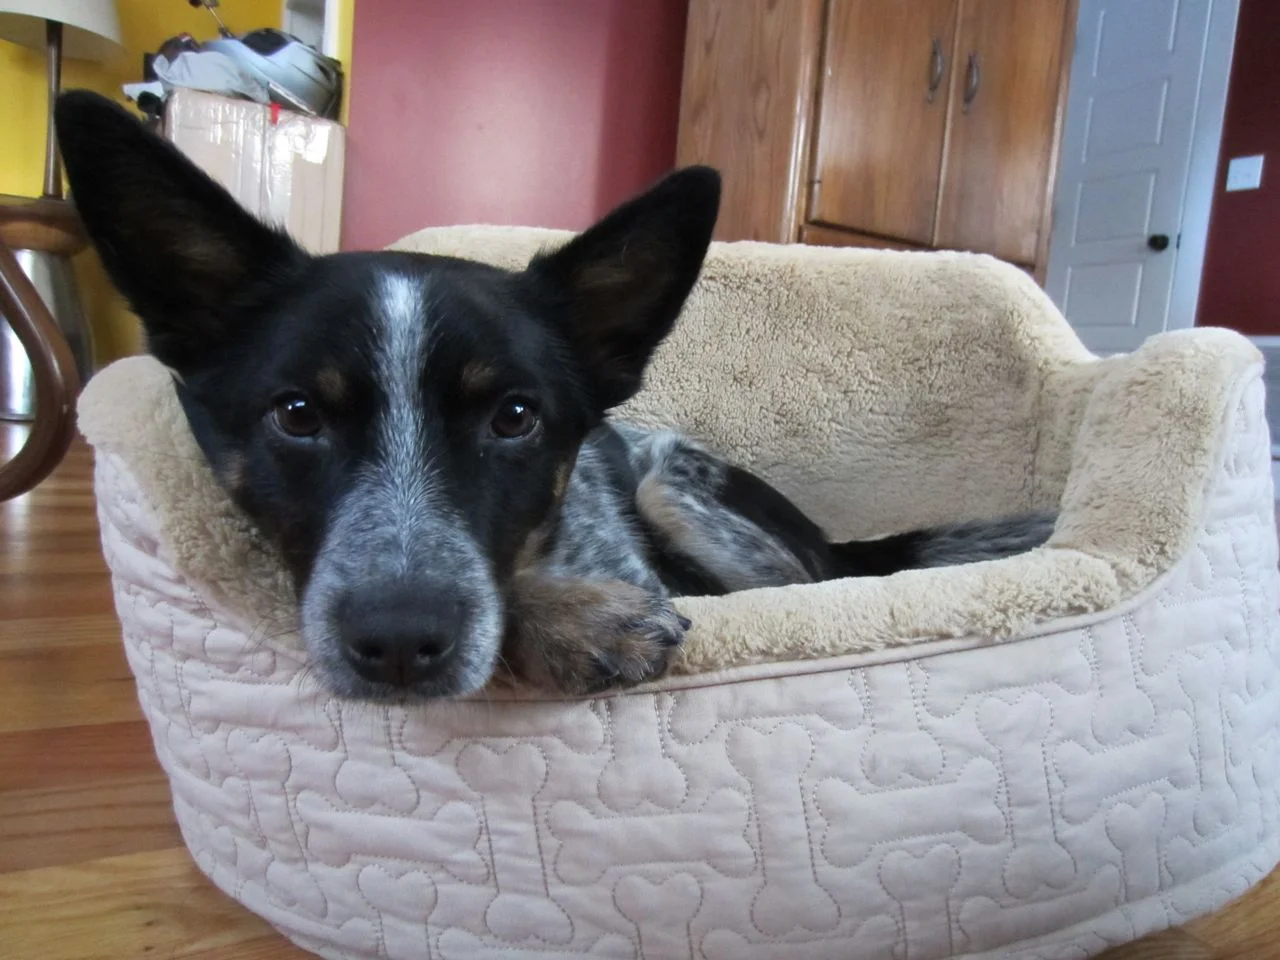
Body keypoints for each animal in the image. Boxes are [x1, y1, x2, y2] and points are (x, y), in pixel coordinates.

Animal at [55, 90, 1055, 702]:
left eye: (514, 418)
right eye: (296, 415)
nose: (398, 643)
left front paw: (577, 617)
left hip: (679, 491)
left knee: (802, 589)